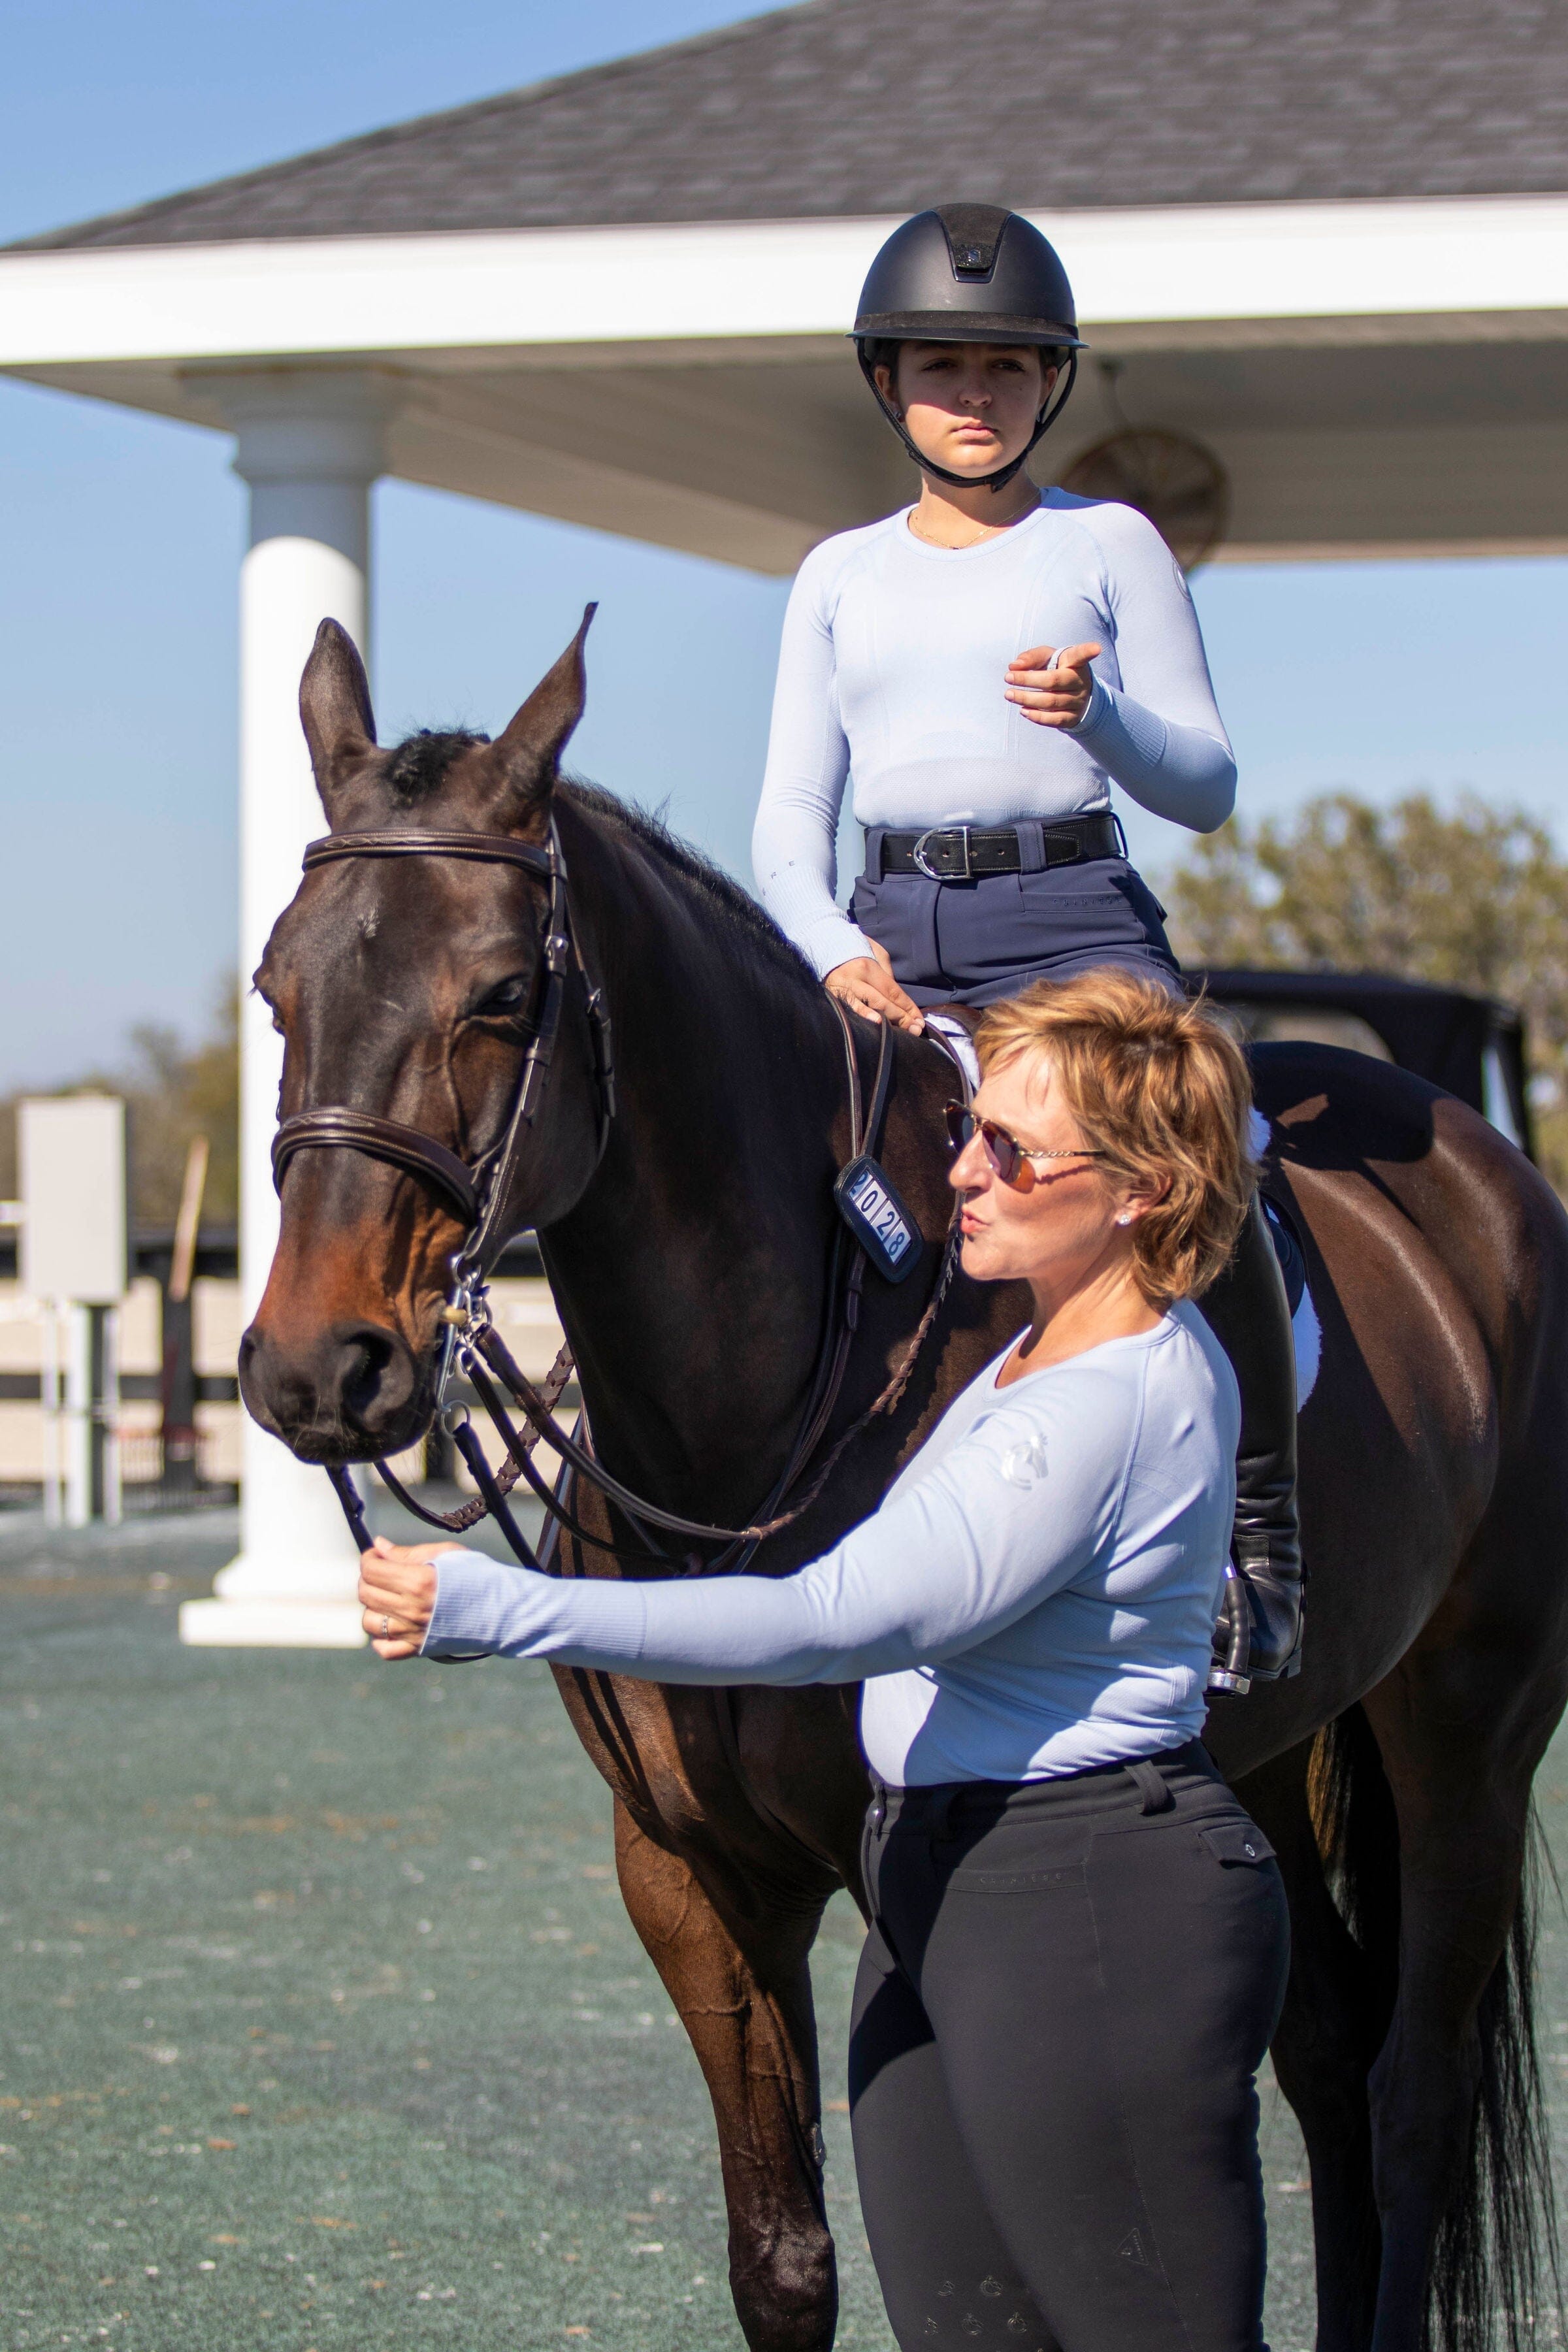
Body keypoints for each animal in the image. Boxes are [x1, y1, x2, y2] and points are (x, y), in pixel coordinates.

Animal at [246, 625, 1568, 2352]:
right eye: (277, 985)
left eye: (506, 994)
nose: (313, 1365)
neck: (753, 1417)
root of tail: (1482, 1173)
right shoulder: (688, 1880)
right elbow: (784, 2260)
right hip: (1271, 1752)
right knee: (1332, 2053)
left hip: (1469, 1727)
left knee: (1414, 2088)